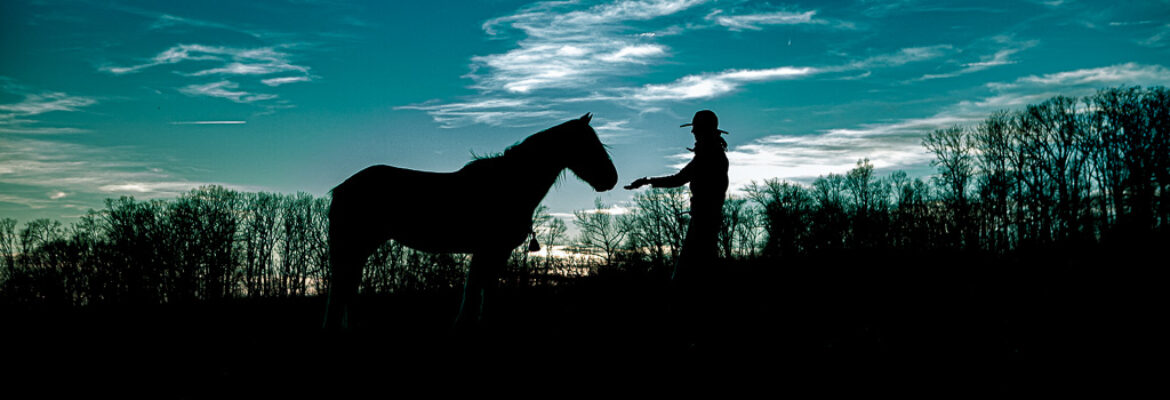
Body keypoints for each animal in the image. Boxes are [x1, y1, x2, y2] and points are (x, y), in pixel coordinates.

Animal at [323, 113, 617, 330]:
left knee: (346, 287)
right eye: (588, 144)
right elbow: (478, 289)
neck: (510, 184)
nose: (611, 179)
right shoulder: (491, 250)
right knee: (341, 287)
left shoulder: (491, 252)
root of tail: (341, 189)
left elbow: (480, 288)